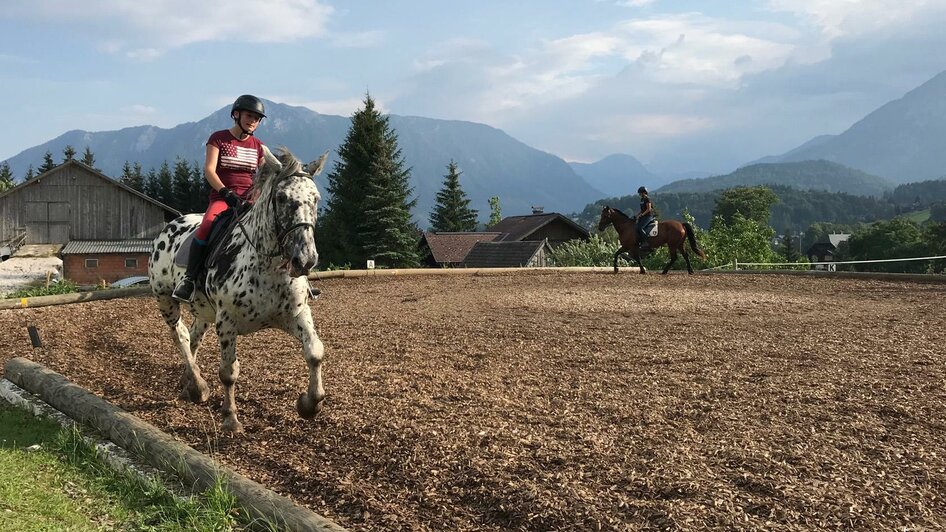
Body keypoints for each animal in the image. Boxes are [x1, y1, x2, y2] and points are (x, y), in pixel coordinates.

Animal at [146, 145, 326, 432]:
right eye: (281, 198)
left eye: (316, 198)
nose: (305, 259)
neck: (268, 267)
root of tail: (170, 225)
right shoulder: (227, 322)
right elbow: (228, 372)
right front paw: (230, 418)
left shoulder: (297, 314)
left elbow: (315, 352)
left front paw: (310, 405)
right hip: (165, 300)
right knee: (181, 336)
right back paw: (198, 386)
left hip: (203, 311)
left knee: (194, 337)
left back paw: (188, 384)